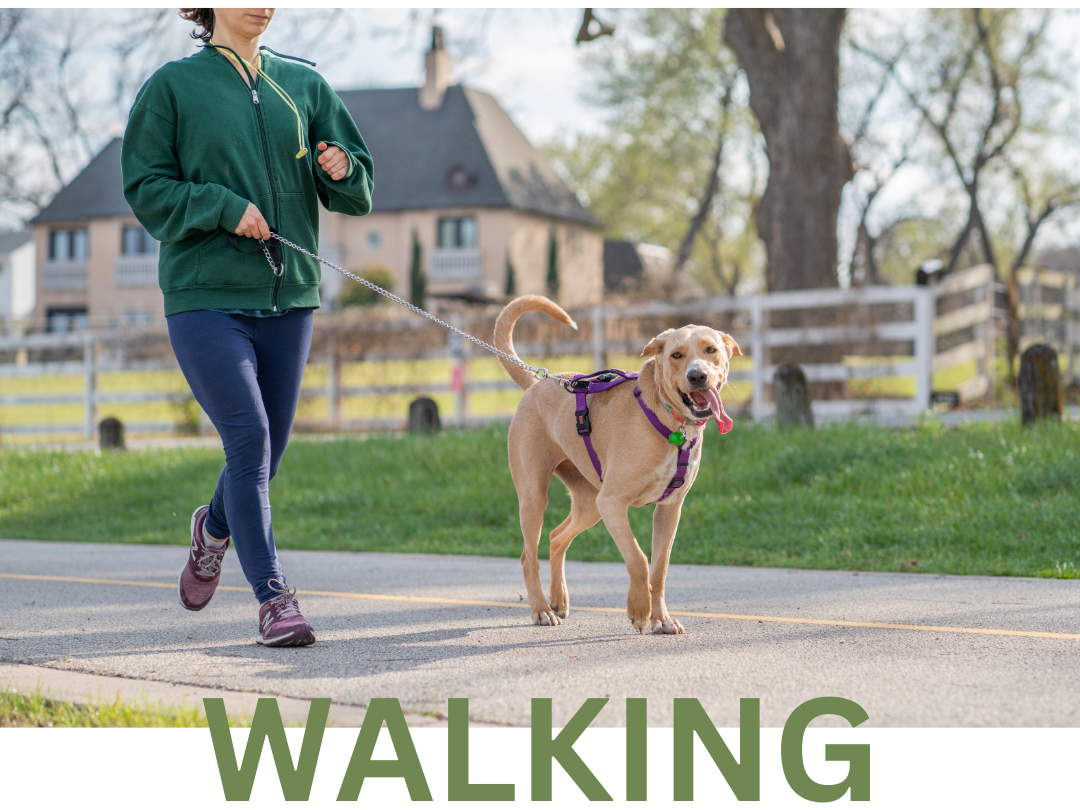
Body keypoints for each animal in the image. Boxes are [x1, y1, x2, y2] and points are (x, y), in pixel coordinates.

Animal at [494, 295, 743, 635]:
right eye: (676, 355)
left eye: (711, 350)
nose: (697, 376)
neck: (670, 421)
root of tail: (537, 381)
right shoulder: (613, 503)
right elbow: (638, 559)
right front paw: (639, 611)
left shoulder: (669, 510)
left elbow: (659, 568)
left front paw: (662, 618)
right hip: (536, 497)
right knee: (527, 557)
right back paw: (542, 610)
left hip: (589, 504)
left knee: (556, 537)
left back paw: (558, 598)